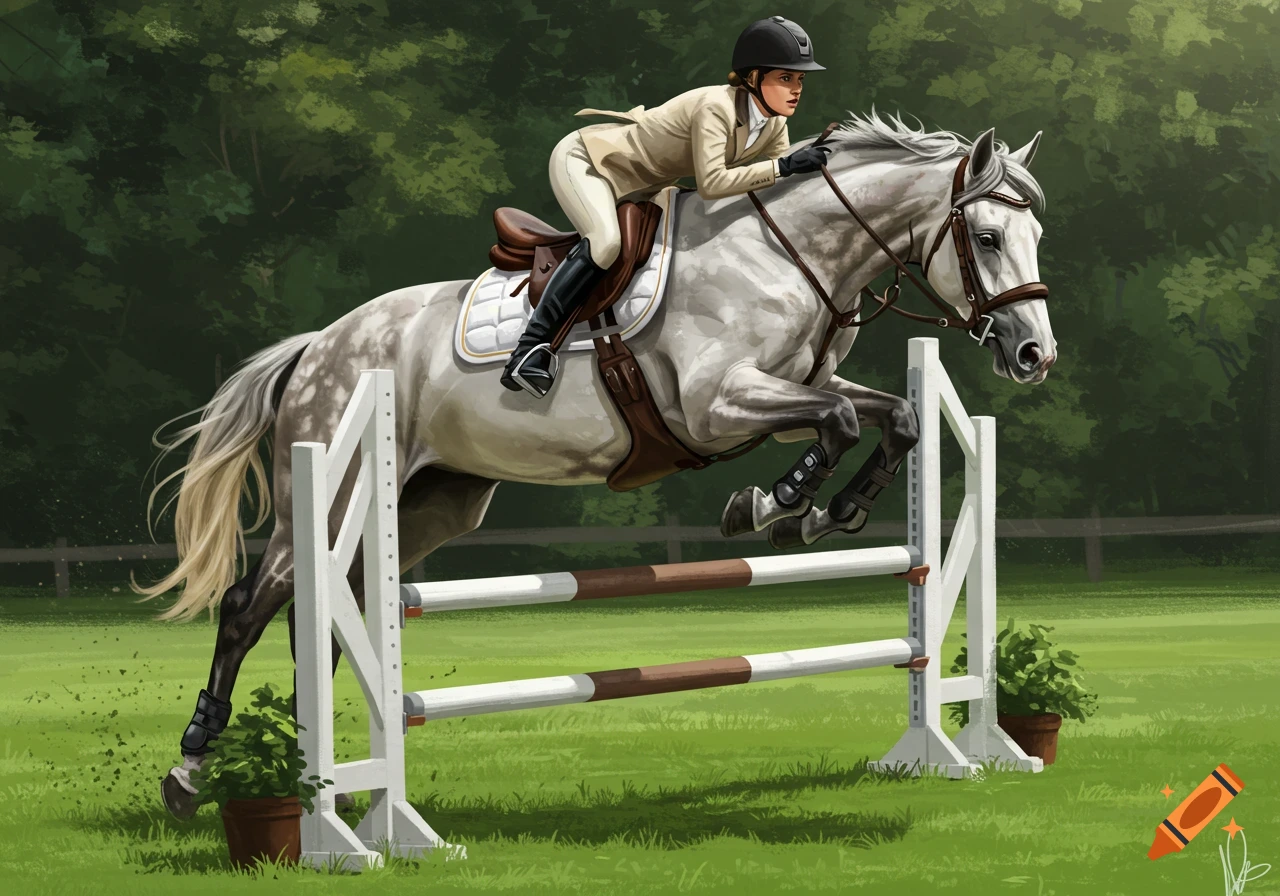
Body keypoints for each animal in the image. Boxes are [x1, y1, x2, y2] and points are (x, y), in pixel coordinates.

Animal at [138, 110, 1055, 817]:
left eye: (1034, 234)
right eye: (985, 236)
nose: (1033, 354)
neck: (788, 254)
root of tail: (321, 344)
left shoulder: (800, 386)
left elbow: (894, 416)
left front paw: (835, 511)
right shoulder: (716, 407)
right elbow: (830, 423)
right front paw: (773, 506)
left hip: (429, 503)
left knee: (328, 615)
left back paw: (308, 771)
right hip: (330, 489)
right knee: (249, 607)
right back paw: (194, 773)